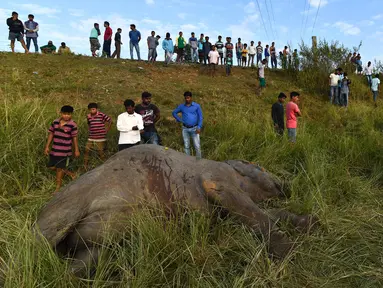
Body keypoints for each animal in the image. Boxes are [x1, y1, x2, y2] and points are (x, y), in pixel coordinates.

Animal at [35, 145, 318, 276]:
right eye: (257, 165)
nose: (286, 185)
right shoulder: (219, 180)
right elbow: (257, 215)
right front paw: (289, 251)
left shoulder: (226, 212)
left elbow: (266, 215)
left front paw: (309, 222)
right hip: (66, 208)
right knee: (38, 243)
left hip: (103, 245)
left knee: (80, 263)